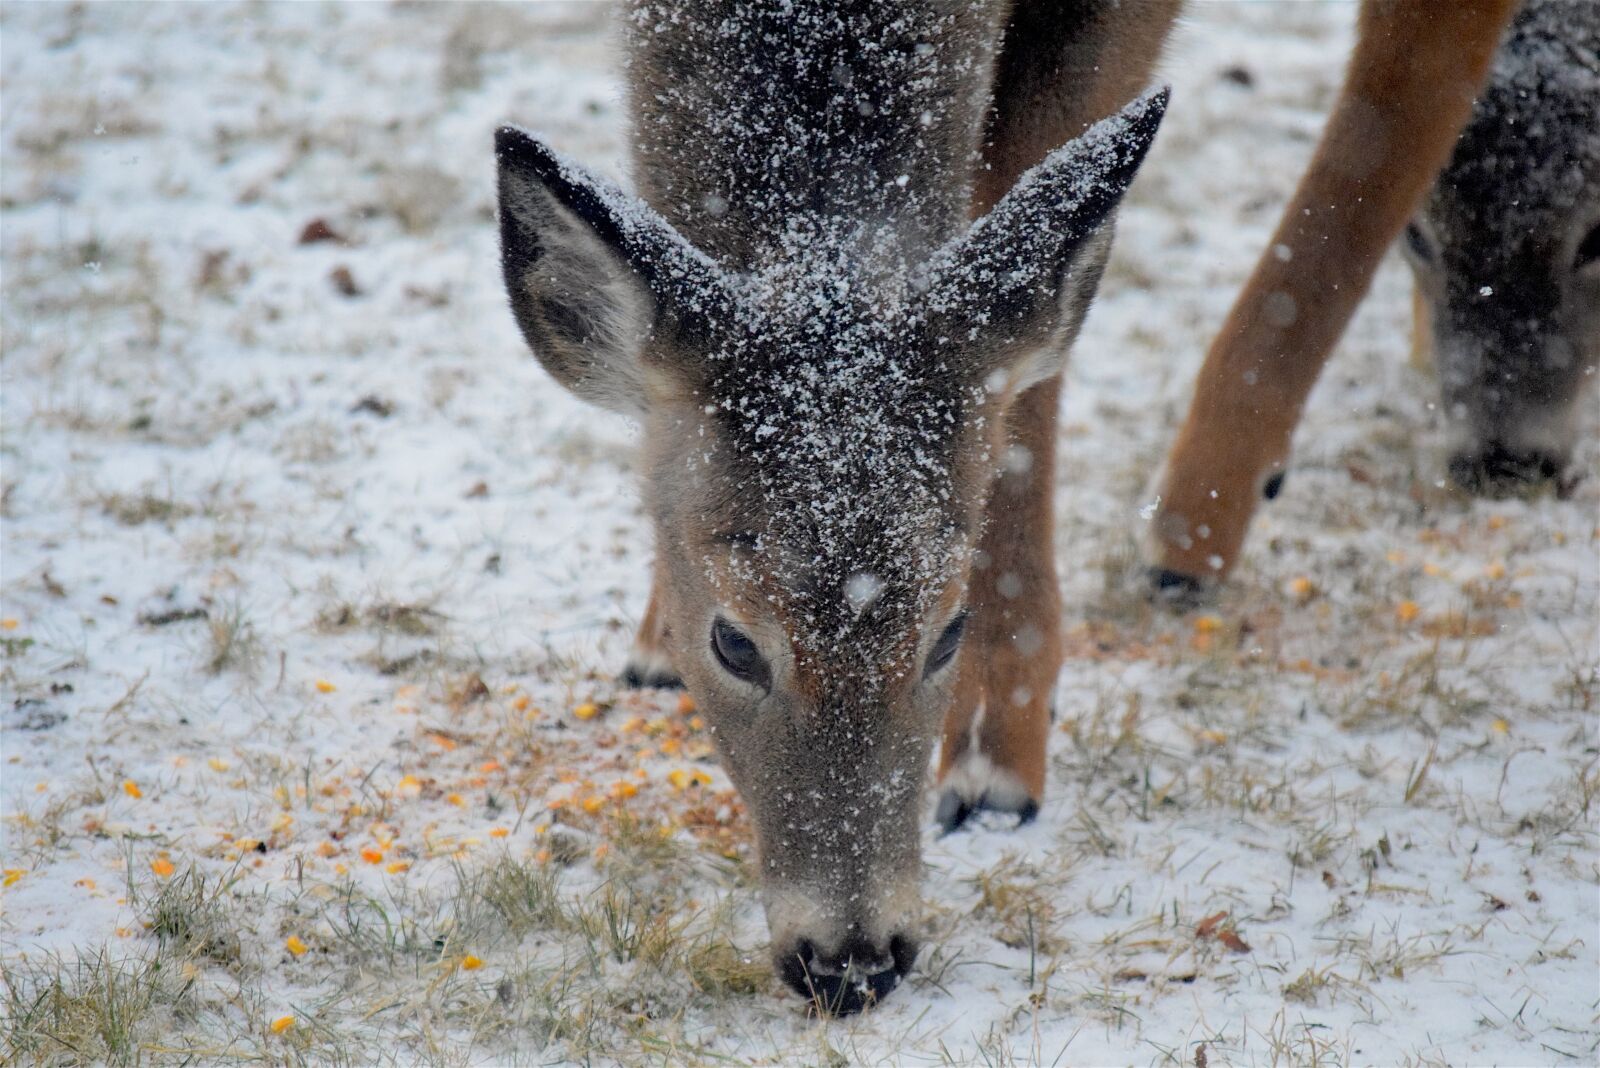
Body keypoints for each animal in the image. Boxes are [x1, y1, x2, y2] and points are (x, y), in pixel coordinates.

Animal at [497, 0, 1516, 1014]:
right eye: (734, 643)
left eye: (949, 629)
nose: (855, 962)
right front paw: (653, 633)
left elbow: (1020, 339)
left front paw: (998, 750)